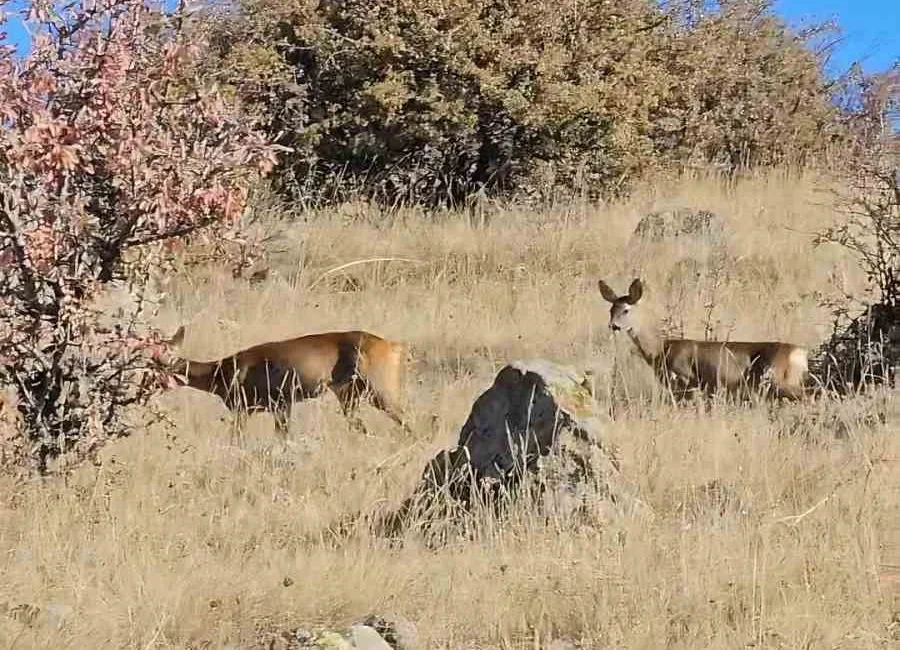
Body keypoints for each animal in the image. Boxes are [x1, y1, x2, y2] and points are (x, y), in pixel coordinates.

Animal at [160, 324, 414, 436]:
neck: (222, 371)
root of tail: (393, 346)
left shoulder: (265, 405)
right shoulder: (279, 407)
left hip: (380, 389)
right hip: (349, 395)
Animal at [596, 278, 808, 400]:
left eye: (626, 310)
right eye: (610, 310)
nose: (613, 326)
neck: (660, 350)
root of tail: (799, 352)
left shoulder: (687, 381)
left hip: (776, 378)